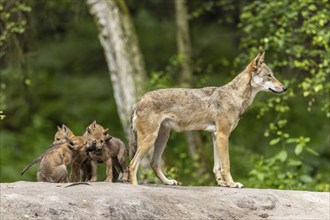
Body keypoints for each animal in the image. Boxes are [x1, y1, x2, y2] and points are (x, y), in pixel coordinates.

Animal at [129, 52, 286, 187]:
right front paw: (232, 184)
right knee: (132, 164)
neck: (235, 96)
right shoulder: (223, 135)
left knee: (153, 163)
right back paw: (136, 186)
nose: (285, 88)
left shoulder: (215, 136)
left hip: (162, 138)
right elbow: (226, 165)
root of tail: (139, 101)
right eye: (269, 76)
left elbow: (217, 166)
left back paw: (168, 182)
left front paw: (223, 184)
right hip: (150, 139)